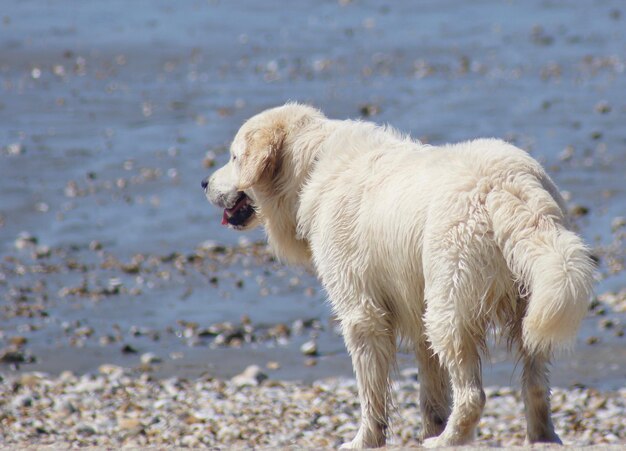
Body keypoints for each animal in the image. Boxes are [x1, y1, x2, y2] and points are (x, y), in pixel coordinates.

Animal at [202, 105, 592, 448]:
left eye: (234, 157)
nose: (204, 182)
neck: (309, 163)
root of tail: (508, 185)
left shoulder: (362, 312)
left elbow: (371, 392)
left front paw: (365, 440)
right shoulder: (413, 307)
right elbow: (430, 392)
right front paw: (427, 426)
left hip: (450, 301)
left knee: (472, 394)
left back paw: (448, 440)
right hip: (527, 300)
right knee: (535, 384)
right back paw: (541, 438)